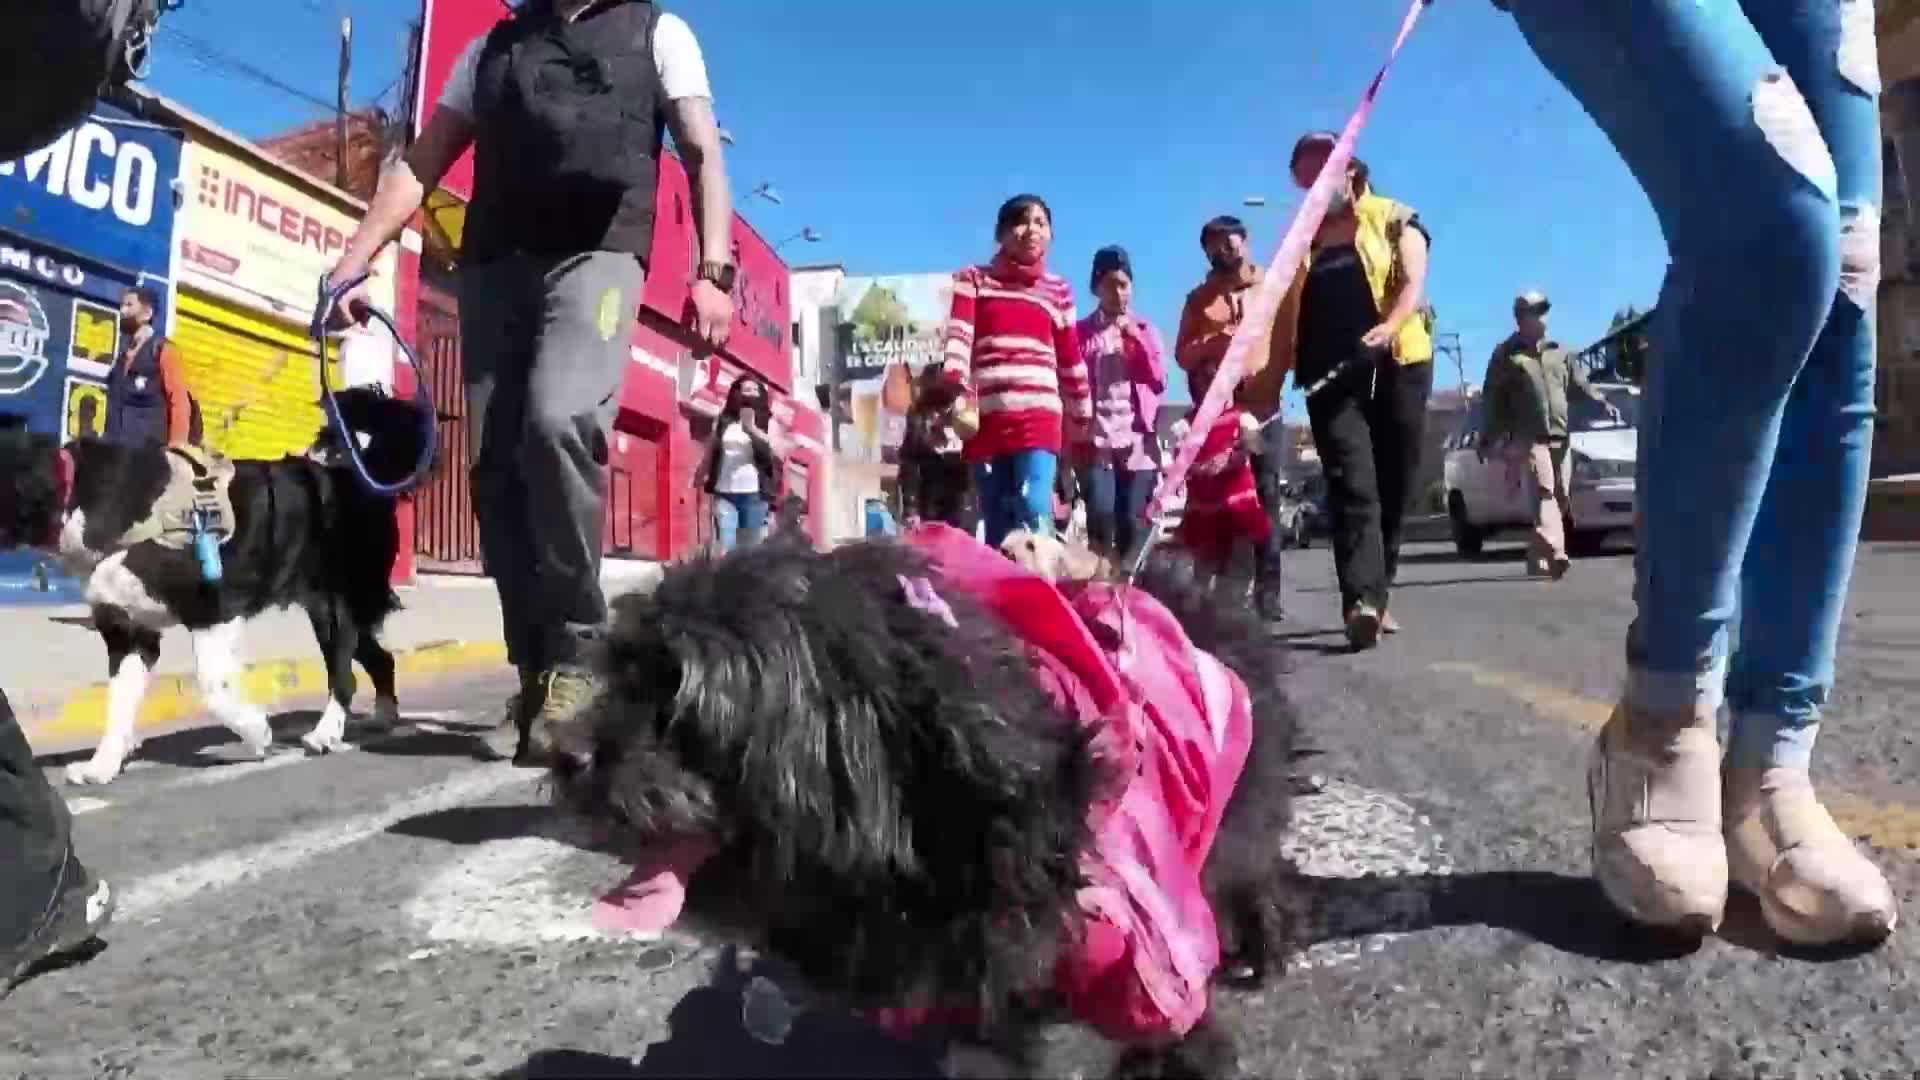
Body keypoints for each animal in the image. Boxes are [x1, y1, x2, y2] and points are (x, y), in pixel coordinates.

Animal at [0, 386, 432, 780]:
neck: (82, 497)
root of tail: (355, 478)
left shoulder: (215, 610)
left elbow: (213, 687)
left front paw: (256, 732)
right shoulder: (129, 631)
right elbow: (119, 705)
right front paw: (101, 766)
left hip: (334, 605)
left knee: (343, 673)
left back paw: (325, 734)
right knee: (380, 658)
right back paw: (383, 716)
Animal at [556, 534, 1305, 1068]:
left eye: (685, 700)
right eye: (618, 671)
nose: (567, 757)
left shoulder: (1148, 962)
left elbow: (1179, 1034)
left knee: (1257, 880)